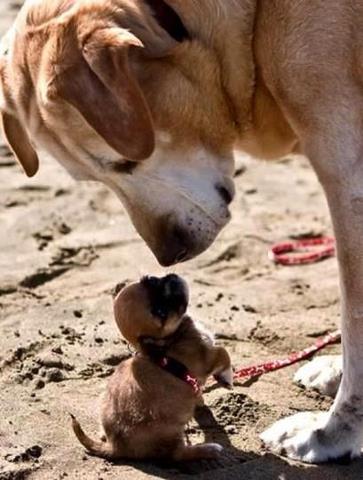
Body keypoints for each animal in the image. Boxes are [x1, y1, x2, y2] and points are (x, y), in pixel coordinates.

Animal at [71, 274, 233, 462]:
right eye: (161, 313)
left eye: (151, 280)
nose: (172, 280)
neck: (171, 338)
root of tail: (116, 446)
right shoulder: (207, 357)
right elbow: (223, 353)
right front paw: (227, 378)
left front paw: (200, 399)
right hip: (171, 431)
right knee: (177, 454)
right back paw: (209, 449)